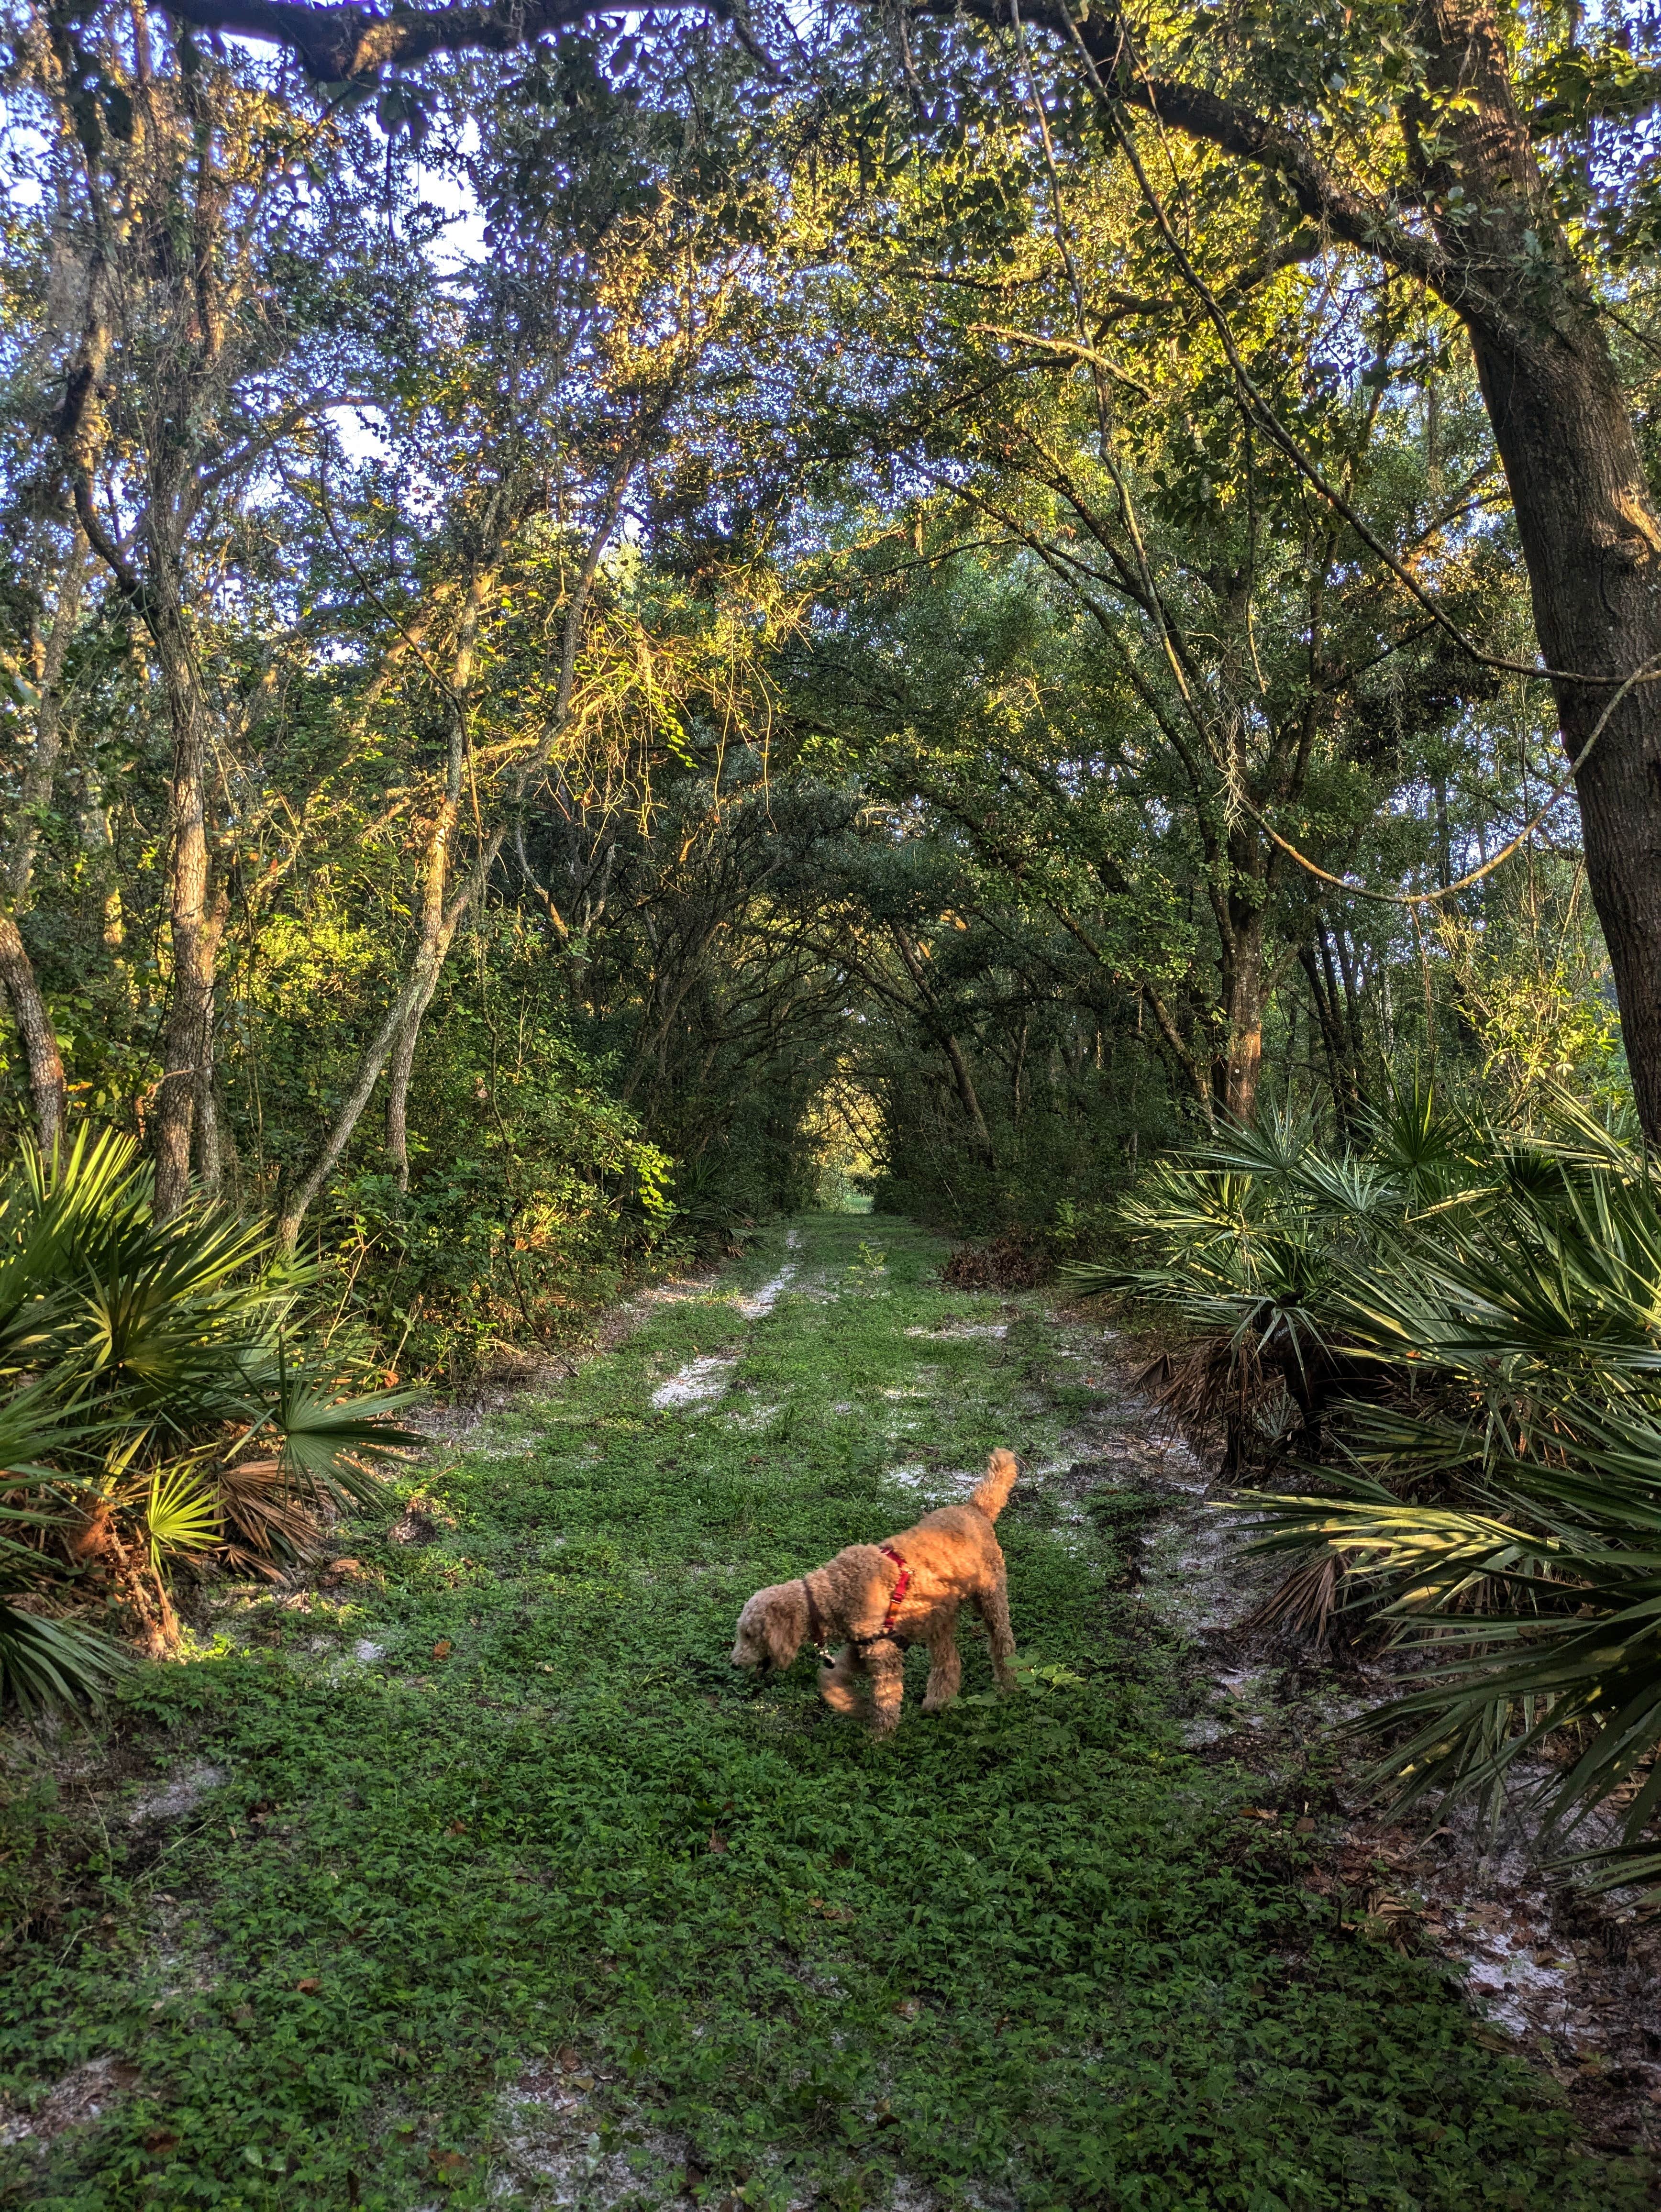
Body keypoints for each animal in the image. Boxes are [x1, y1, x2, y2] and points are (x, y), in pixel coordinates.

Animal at [730, 1442, 1021, 1734]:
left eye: (749, 1635)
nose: (734, 1663)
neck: (832, 1592)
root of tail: (976, 1509)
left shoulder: (883, 1655)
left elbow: (885, 1702)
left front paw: (878, 1738)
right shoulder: (862, 1648)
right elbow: (829, 1679)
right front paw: (854, 1708)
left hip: (990, 1598)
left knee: (1002, 1643)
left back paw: (1007, 1686)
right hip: (938, 1617)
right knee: (948, 1660)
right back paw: (938, 1702)